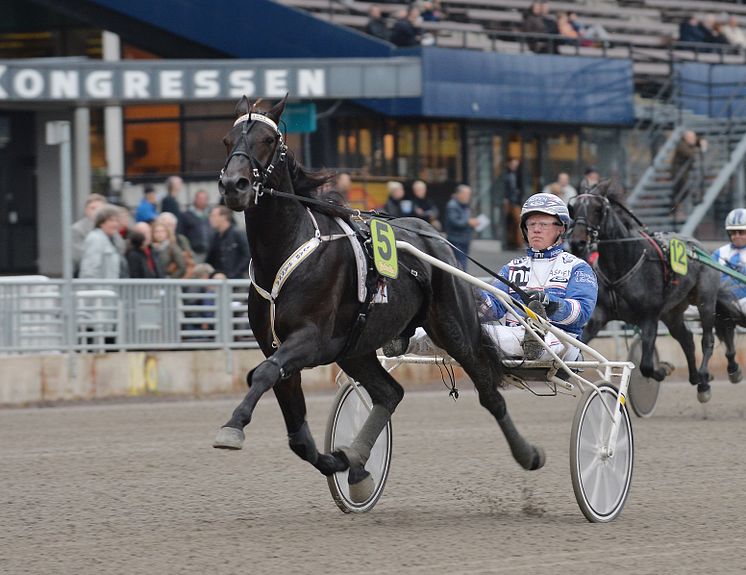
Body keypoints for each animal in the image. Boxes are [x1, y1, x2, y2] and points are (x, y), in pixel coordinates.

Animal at [209, 97, 540, 502]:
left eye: (269, 140)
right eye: (227, 140)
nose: (233, 185)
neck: (284, 249)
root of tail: (434, 233)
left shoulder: (310, 339)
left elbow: (264, 372)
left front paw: (232, 427)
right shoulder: (278, 344)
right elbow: (295, 431)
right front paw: (343, 461)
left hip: (453, 328)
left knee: (489, 391)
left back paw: (528, 453)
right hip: (356, 348)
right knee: (390, 393)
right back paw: (358, 465)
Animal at [568, 181, 716, 404]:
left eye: (598, 208)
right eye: (572, 207)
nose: (577, 243)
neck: (622, 264)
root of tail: (698, 247)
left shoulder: (649, 317)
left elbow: (646, 366)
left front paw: (663, 369)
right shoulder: (598, 317)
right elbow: (580, 342)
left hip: (705, 302)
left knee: (706, 339)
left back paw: (704, 382)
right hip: (671, 313)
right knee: (686, 339)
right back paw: (695, 377)